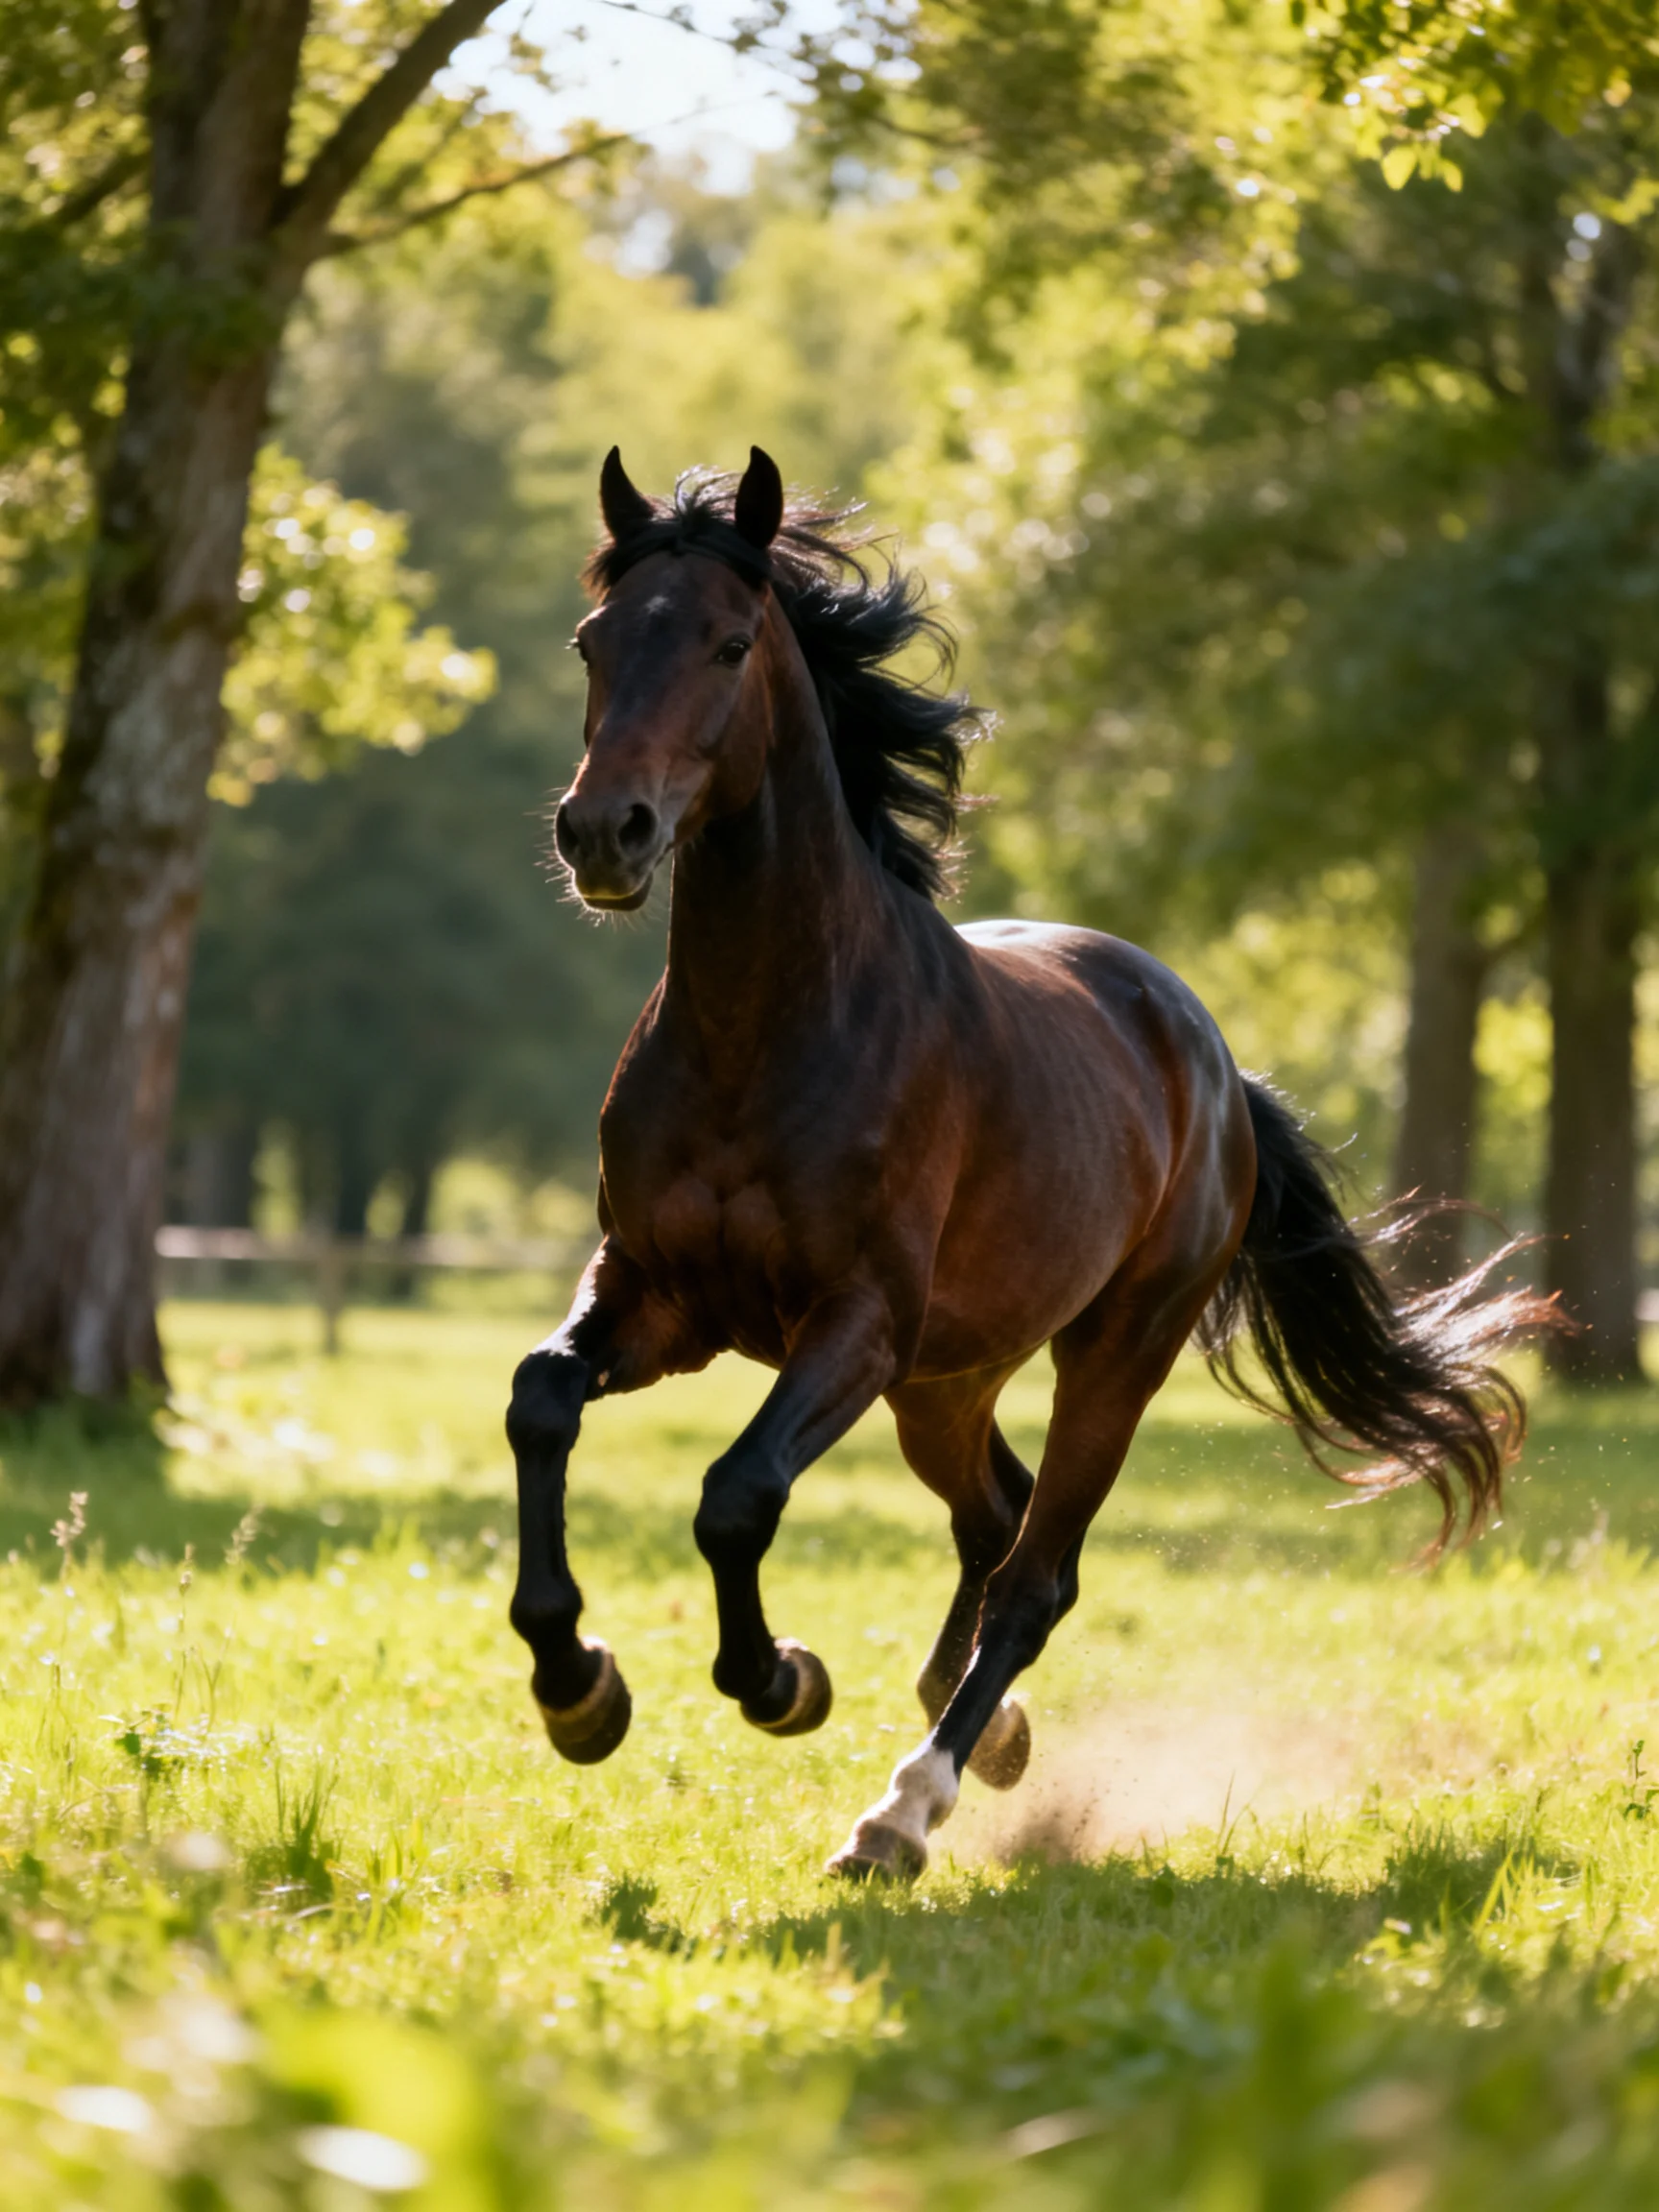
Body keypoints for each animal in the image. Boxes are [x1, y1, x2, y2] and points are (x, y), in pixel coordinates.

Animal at [504, 444, 1547, 1880]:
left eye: (727, 641)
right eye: (593, 640)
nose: (605, 832)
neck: (765, 1031)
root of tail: (1212, 1061)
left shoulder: (855, 1322)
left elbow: (736, 1494)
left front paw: (781, 1680)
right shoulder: (657, 1294)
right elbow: (540, 1400)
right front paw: (579, 1691)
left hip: (1105, 1355)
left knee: (1035, 1575)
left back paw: (903, 1809)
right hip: (948, 1379)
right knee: (993, 1521)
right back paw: (976, 1728)